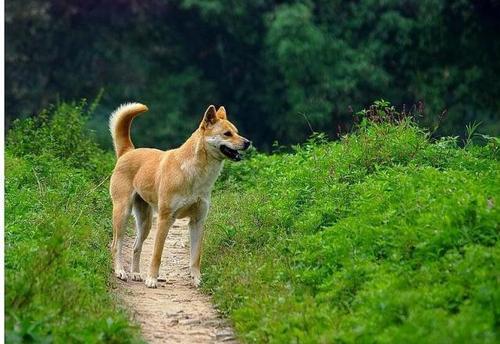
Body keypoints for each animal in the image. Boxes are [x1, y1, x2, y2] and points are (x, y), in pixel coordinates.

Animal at [109, 104, 250, 288]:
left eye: (237, 132)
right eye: (227, 134)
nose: (248, 143)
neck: (194, 172)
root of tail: (128, 151)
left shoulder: (198, 221)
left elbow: (195, 257)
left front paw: (197, 279)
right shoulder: (165, 219)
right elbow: (157, 254)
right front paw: (152, 279)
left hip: (145, 222)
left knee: (135, 247)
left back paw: (136, 274)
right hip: (123, 213)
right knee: (116, 245)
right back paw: (120, 271)